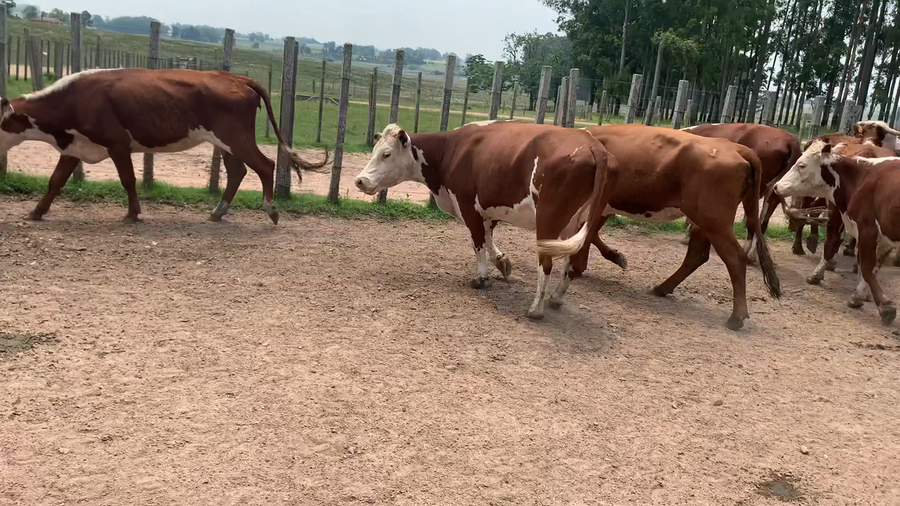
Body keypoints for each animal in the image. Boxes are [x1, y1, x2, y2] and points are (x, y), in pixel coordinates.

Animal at [0, 68, 327, 224]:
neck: (75, 99)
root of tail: (236, 78)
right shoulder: (73, 148)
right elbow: (55, 181)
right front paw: (36, 212)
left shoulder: (118, 144)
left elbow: (128, 180)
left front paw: (133, 214)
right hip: (225, 142)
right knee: (237, 172)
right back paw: (217, 212)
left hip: (235, 137)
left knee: (264, 165)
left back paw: (270, 209)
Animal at [353, 122, 618, 320]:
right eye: (374, 151)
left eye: (386, 154)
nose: (360, 180)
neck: (451, 149)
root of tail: (592, 145)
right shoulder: (487, 208)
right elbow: (488, 237)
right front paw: (502, 262)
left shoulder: (468, 206)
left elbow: (477, 242)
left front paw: (481, 277)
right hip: (584, 223)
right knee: (575, 262)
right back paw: (556, 297)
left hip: (549, 219)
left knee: (547, 263)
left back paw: (536, 308)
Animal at [538, 125, 782, 330]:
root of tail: (737, 148)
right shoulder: (603, 208)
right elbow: (591, 236)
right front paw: (613, 257)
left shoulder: (596, 207)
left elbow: (587, 236)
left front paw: (583, 267)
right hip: (704, 221)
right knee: (697, 255)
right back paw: (662, 288)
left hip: (715, 221)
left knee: (734, 258)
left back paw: (736, 316)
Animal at [775, 140, 900, 325]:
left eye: (802, 165)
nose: (777, 186)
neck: (861, 176)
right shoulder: (883, 237)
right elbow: (873, 266)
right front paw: (861, 295)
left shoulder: (866, 228)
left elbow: (864, 265)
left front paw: (884, 306)